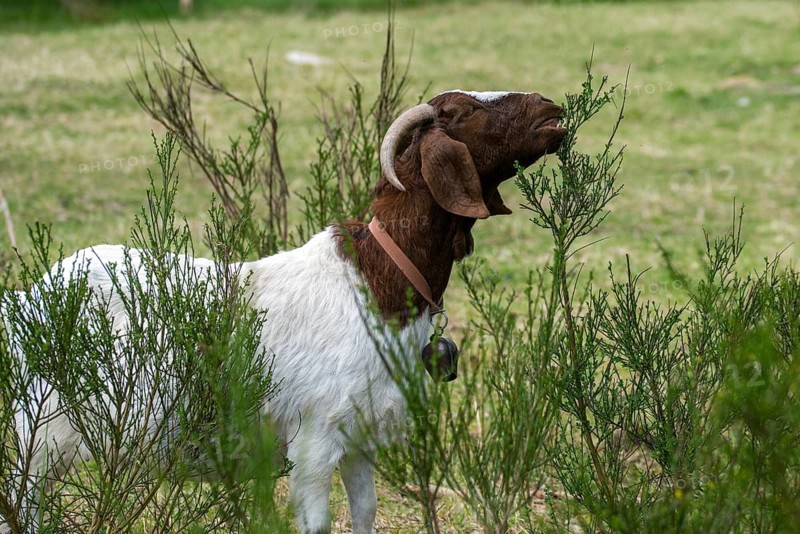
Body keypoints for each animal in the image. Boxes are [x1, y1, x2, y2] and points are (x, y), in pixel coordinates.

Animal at [1, 89, 566, 534]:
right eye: (466, 110)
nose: (550, 109)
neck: (376, 281)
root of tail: (30, 296)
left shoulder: (359, 436)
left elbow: (365, 512)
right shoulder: (316, 438)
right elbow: (317, 523)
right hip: (42, 429)